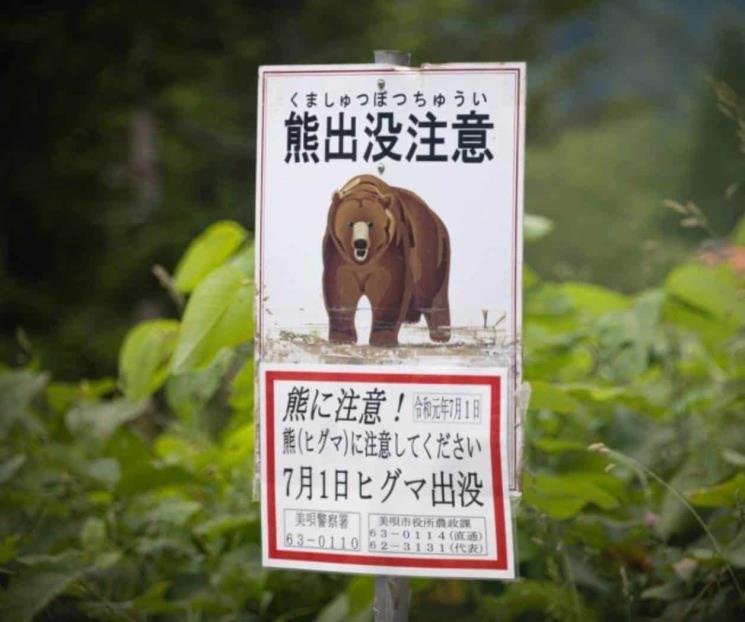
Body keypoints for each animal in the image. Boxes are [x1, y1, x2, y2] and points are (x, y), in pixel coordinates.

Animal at [322, 174, 451, 346]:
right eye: (349, 223)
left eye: (371, 223)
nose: (360, 243)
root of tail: (435, 217)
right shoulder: (337, 252)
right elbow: (340, 287)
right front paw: (341, 337)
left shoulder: (392, 248)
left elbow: (389, 286)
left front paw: (383, 338)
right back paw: (410, 318)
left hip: (430, 249)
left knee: (431, 293)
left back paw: (441, 334)